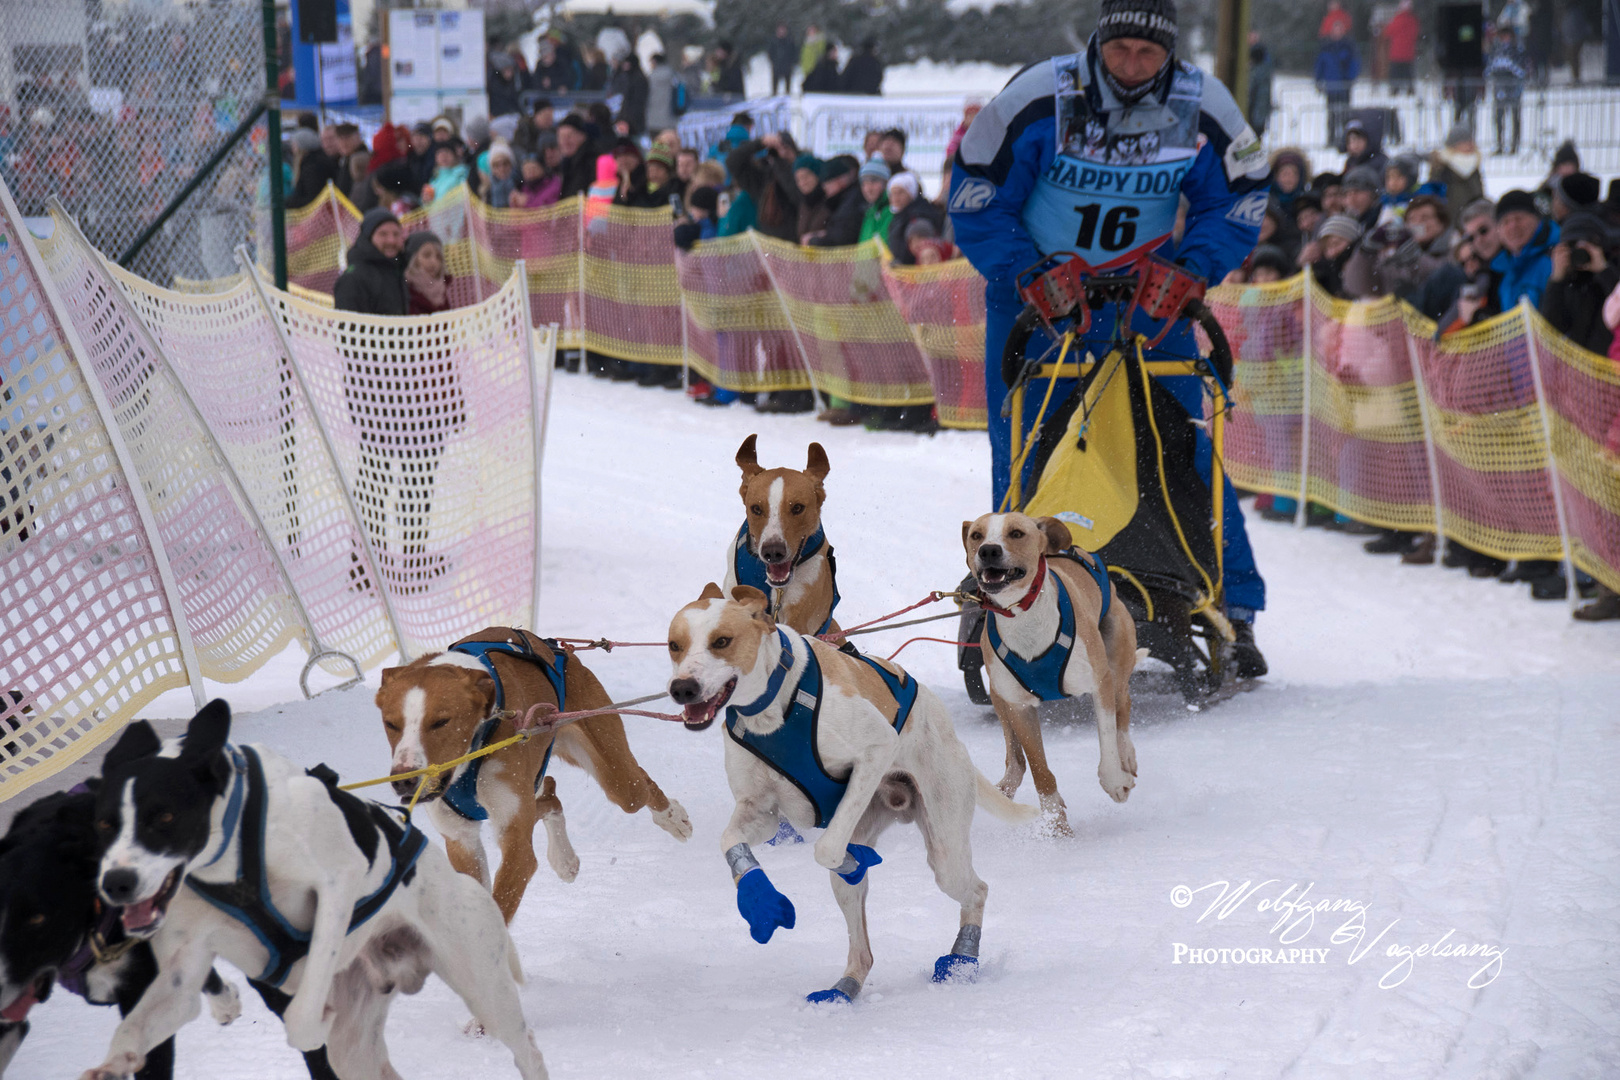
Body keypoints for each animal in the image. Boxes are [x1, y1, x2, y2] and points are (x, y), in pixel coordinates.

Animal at [82, 702, 547, 1080]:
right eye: (104, 823)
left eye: (164, 816)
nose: (116, 882)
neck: (234, 858)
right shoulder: (184, 970)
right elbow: (138, 1025)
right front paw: (112, 1064)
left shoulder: (337, 884)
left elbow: (302, 1019)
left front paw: (310, 1021)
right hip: (357, 1049)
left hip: (485, 990)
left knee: (528, 1050)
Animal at [377, 628, 690, 926]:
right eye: (391, 723)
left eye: (441, 721)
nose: (404, 779)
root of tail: (559, 649)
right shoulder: (461, 841)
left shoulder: (516, 843)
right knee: (549, 792)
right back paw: (564, 857)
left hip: (614, 773)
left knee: (637, 783)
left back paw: (672, 817)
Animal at [667, 582, 1036, 1003]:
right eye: (674, 645)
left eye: (722, 641)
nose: (682, 688)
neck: (773, 706)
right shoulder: (761, 812)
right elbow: (730, 841)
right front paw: (758, 899)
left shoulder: (876, 750)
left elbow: (826, 849)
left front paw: (852, 859)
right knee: (863, 951)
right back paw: (844, 989)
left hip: (945, 849)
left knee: (975, 890)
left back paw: (961, 962)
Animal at [965, 511, 1146, 835]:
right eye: (976, 535)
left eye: (1016, 533)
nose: (988, 550)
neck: (1023, 616)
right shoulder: (1020, 707)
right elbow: (1039, 769)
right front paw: (1056, 825)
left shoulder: (1099, 683)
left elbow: (1107, 737)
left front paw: (1114, 780)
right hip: (999, 697)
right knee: (1015, 759)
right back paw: (1003, 787)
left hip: (1116, 659)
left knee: (1123, 705)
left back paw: (1126, 753)